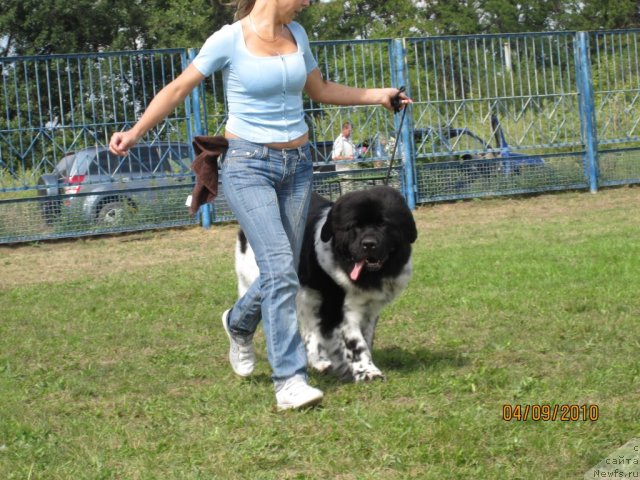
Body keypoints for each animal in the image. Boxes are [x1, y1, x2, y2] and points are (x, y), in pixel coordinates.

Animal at [238, 186, 418, 380]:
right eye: (354, 226)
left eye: (383, 224)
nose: (369, 244)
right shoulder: (341, 310)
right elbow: (355, 342)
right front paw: (368, 371)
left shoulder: (370, 308)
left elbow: (366, 337)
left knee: (310, 329)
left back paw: (320, 362)